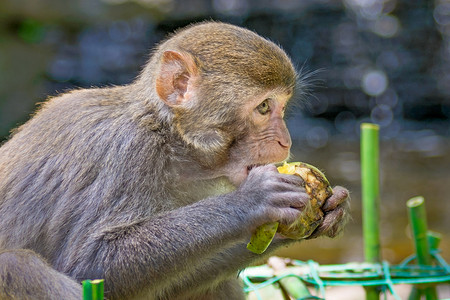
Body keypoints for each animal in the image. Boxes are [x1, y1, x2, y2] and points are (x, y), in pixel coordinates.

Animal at [0, 21, 352, 300]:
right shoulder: (128, 153)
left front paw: (324, 212)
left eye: (281, 106)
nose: (286, 141)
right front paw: (253, 200)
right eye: (264, 107)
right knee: (19, 266)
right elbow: (90, 265)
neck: (171, 141)